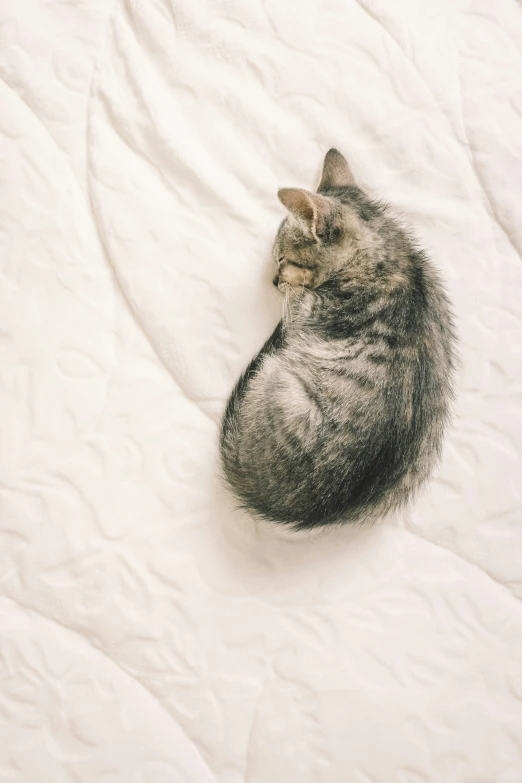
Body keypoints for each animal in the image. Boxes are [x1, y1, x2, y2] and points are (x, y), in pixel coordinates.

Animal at [219, 149, 456, 528]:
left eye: (282, 258)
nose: (273, 281)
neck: (386, 256)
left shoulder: (308, 312)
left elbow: (297, 304)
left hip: (277, 379)